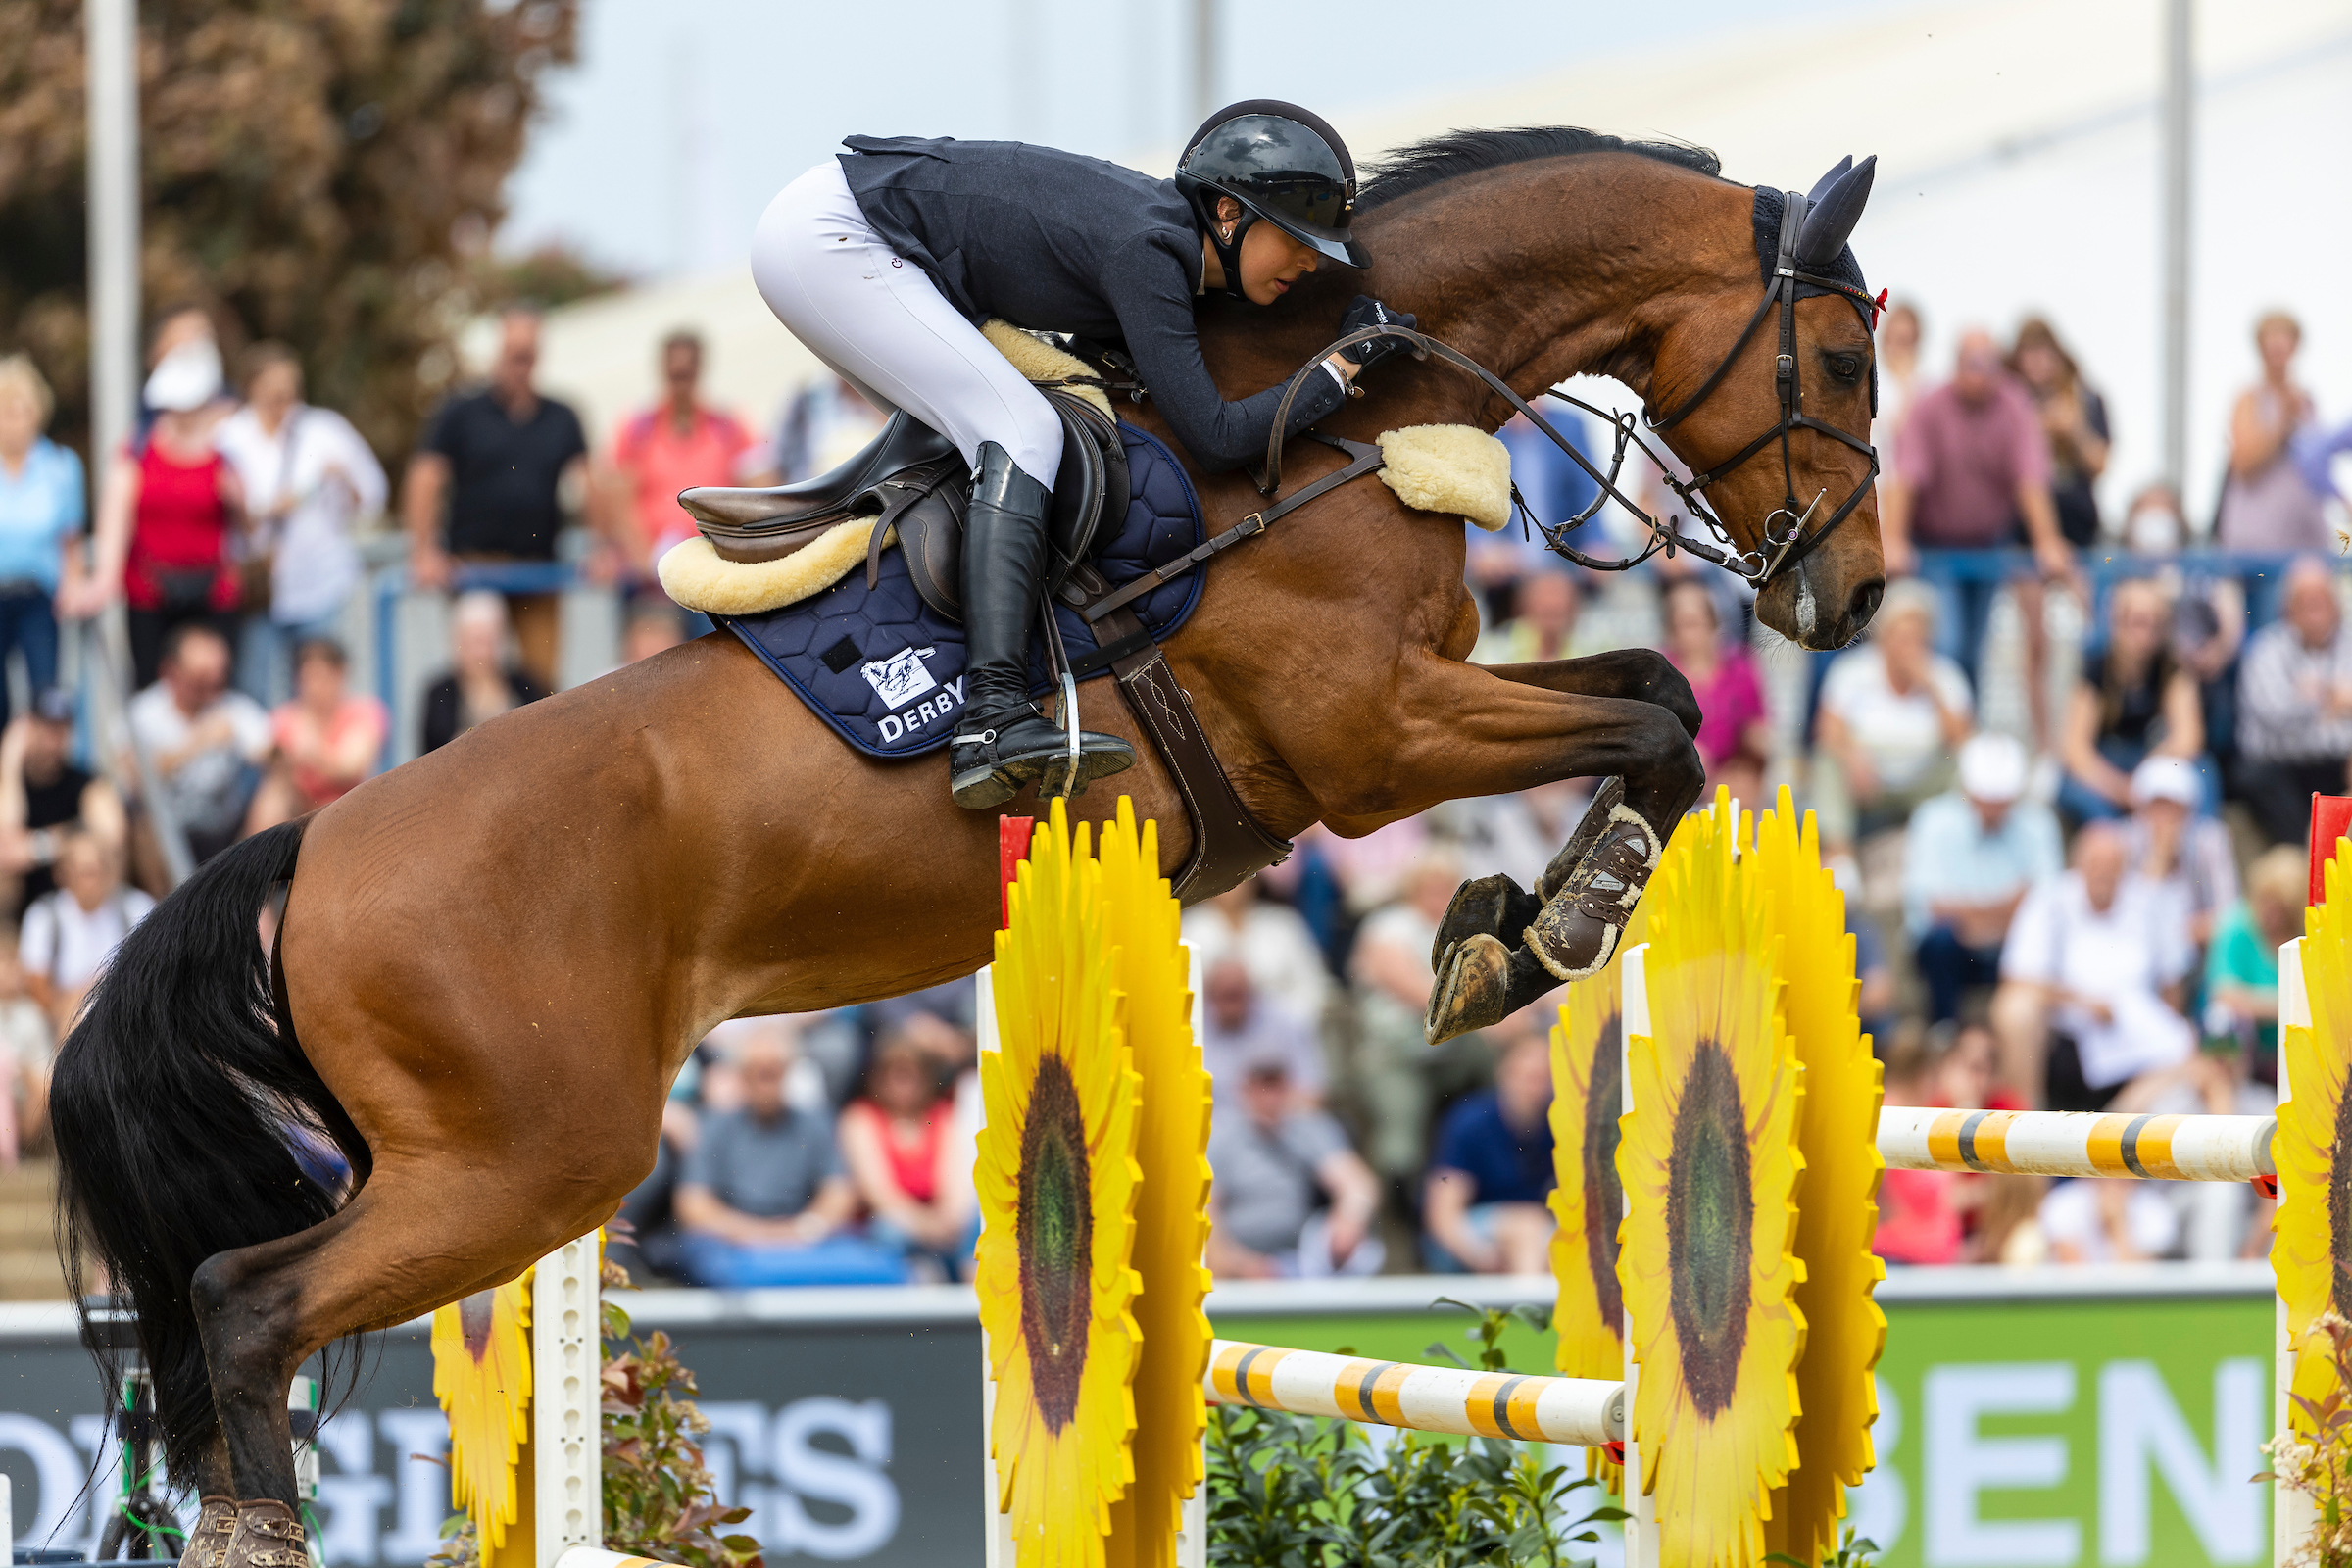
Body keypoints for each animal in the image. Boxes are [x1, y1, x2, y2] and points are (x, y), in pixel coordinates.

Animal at [50, 128, 1890, 1523]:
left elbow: (1654, 687)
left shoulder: (1427, 696)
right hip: (532, 1159)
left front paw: (1510, 926)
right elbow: (1656, 723)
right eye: (1848, 355)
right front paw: (1539, 932)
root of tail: (298, 859)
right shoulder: (1376, 739)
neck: (1333, 427)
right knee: (247, 1307)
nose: (1857, 597)